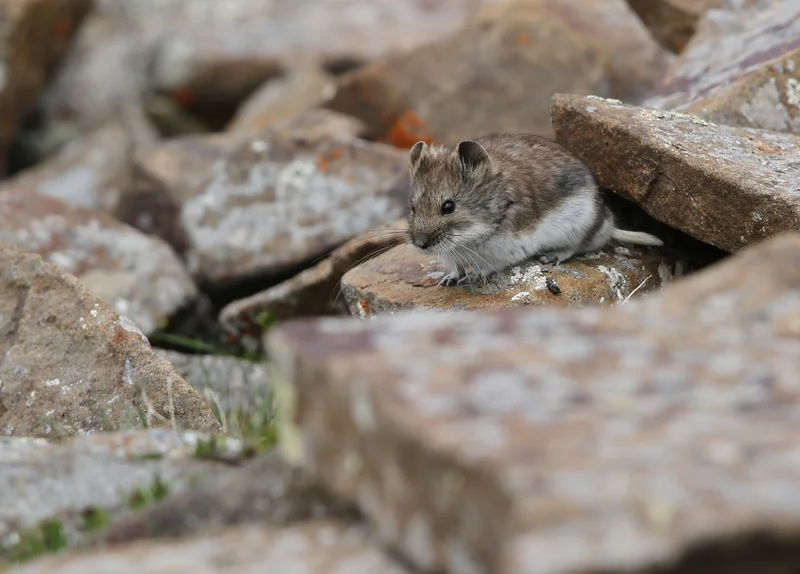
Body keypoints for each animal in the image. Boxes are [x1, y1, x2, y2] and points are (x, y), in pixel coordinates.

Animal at [405, 133, 663, 286]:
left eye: (448, 206)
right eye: (413, 207)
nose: (420, 245)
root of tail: (607, 224)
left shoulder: (508, 250)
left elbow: (488, 266)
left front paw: (474, 276)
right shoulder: (452, 256)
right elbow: (456, 268)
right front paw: (448, 280)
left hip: (579, 226)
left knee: (574, 248)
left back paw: (552, 256)